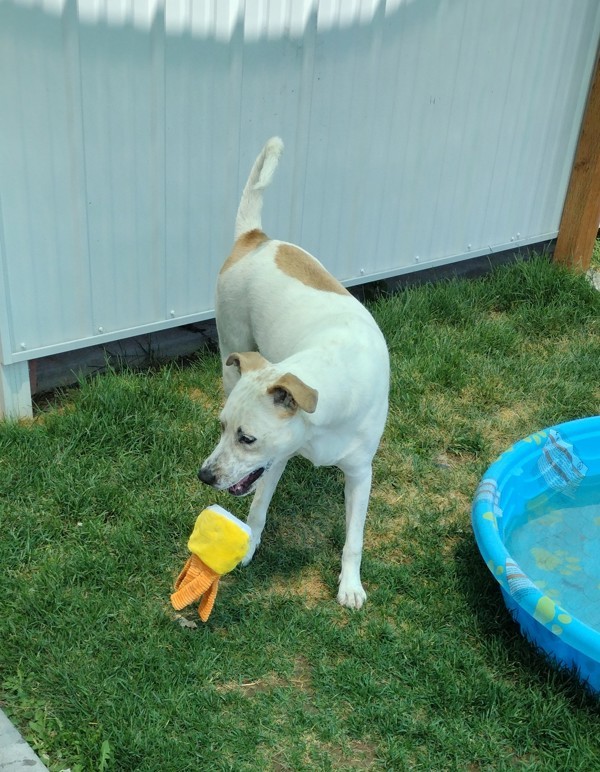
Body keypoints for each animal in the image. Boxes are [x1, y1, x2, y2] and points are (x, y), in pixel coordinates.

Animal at [199, 139, 392, 608]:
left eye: (247, 437)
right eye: (222, 427)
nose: (205, 476)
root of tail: (255, 238)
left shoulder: (360, 473)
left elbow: (354, 538)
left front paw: (351, 585)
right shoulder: (277, 458)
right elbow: (256, 510)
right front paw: (247, 548)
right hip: (231, 345)